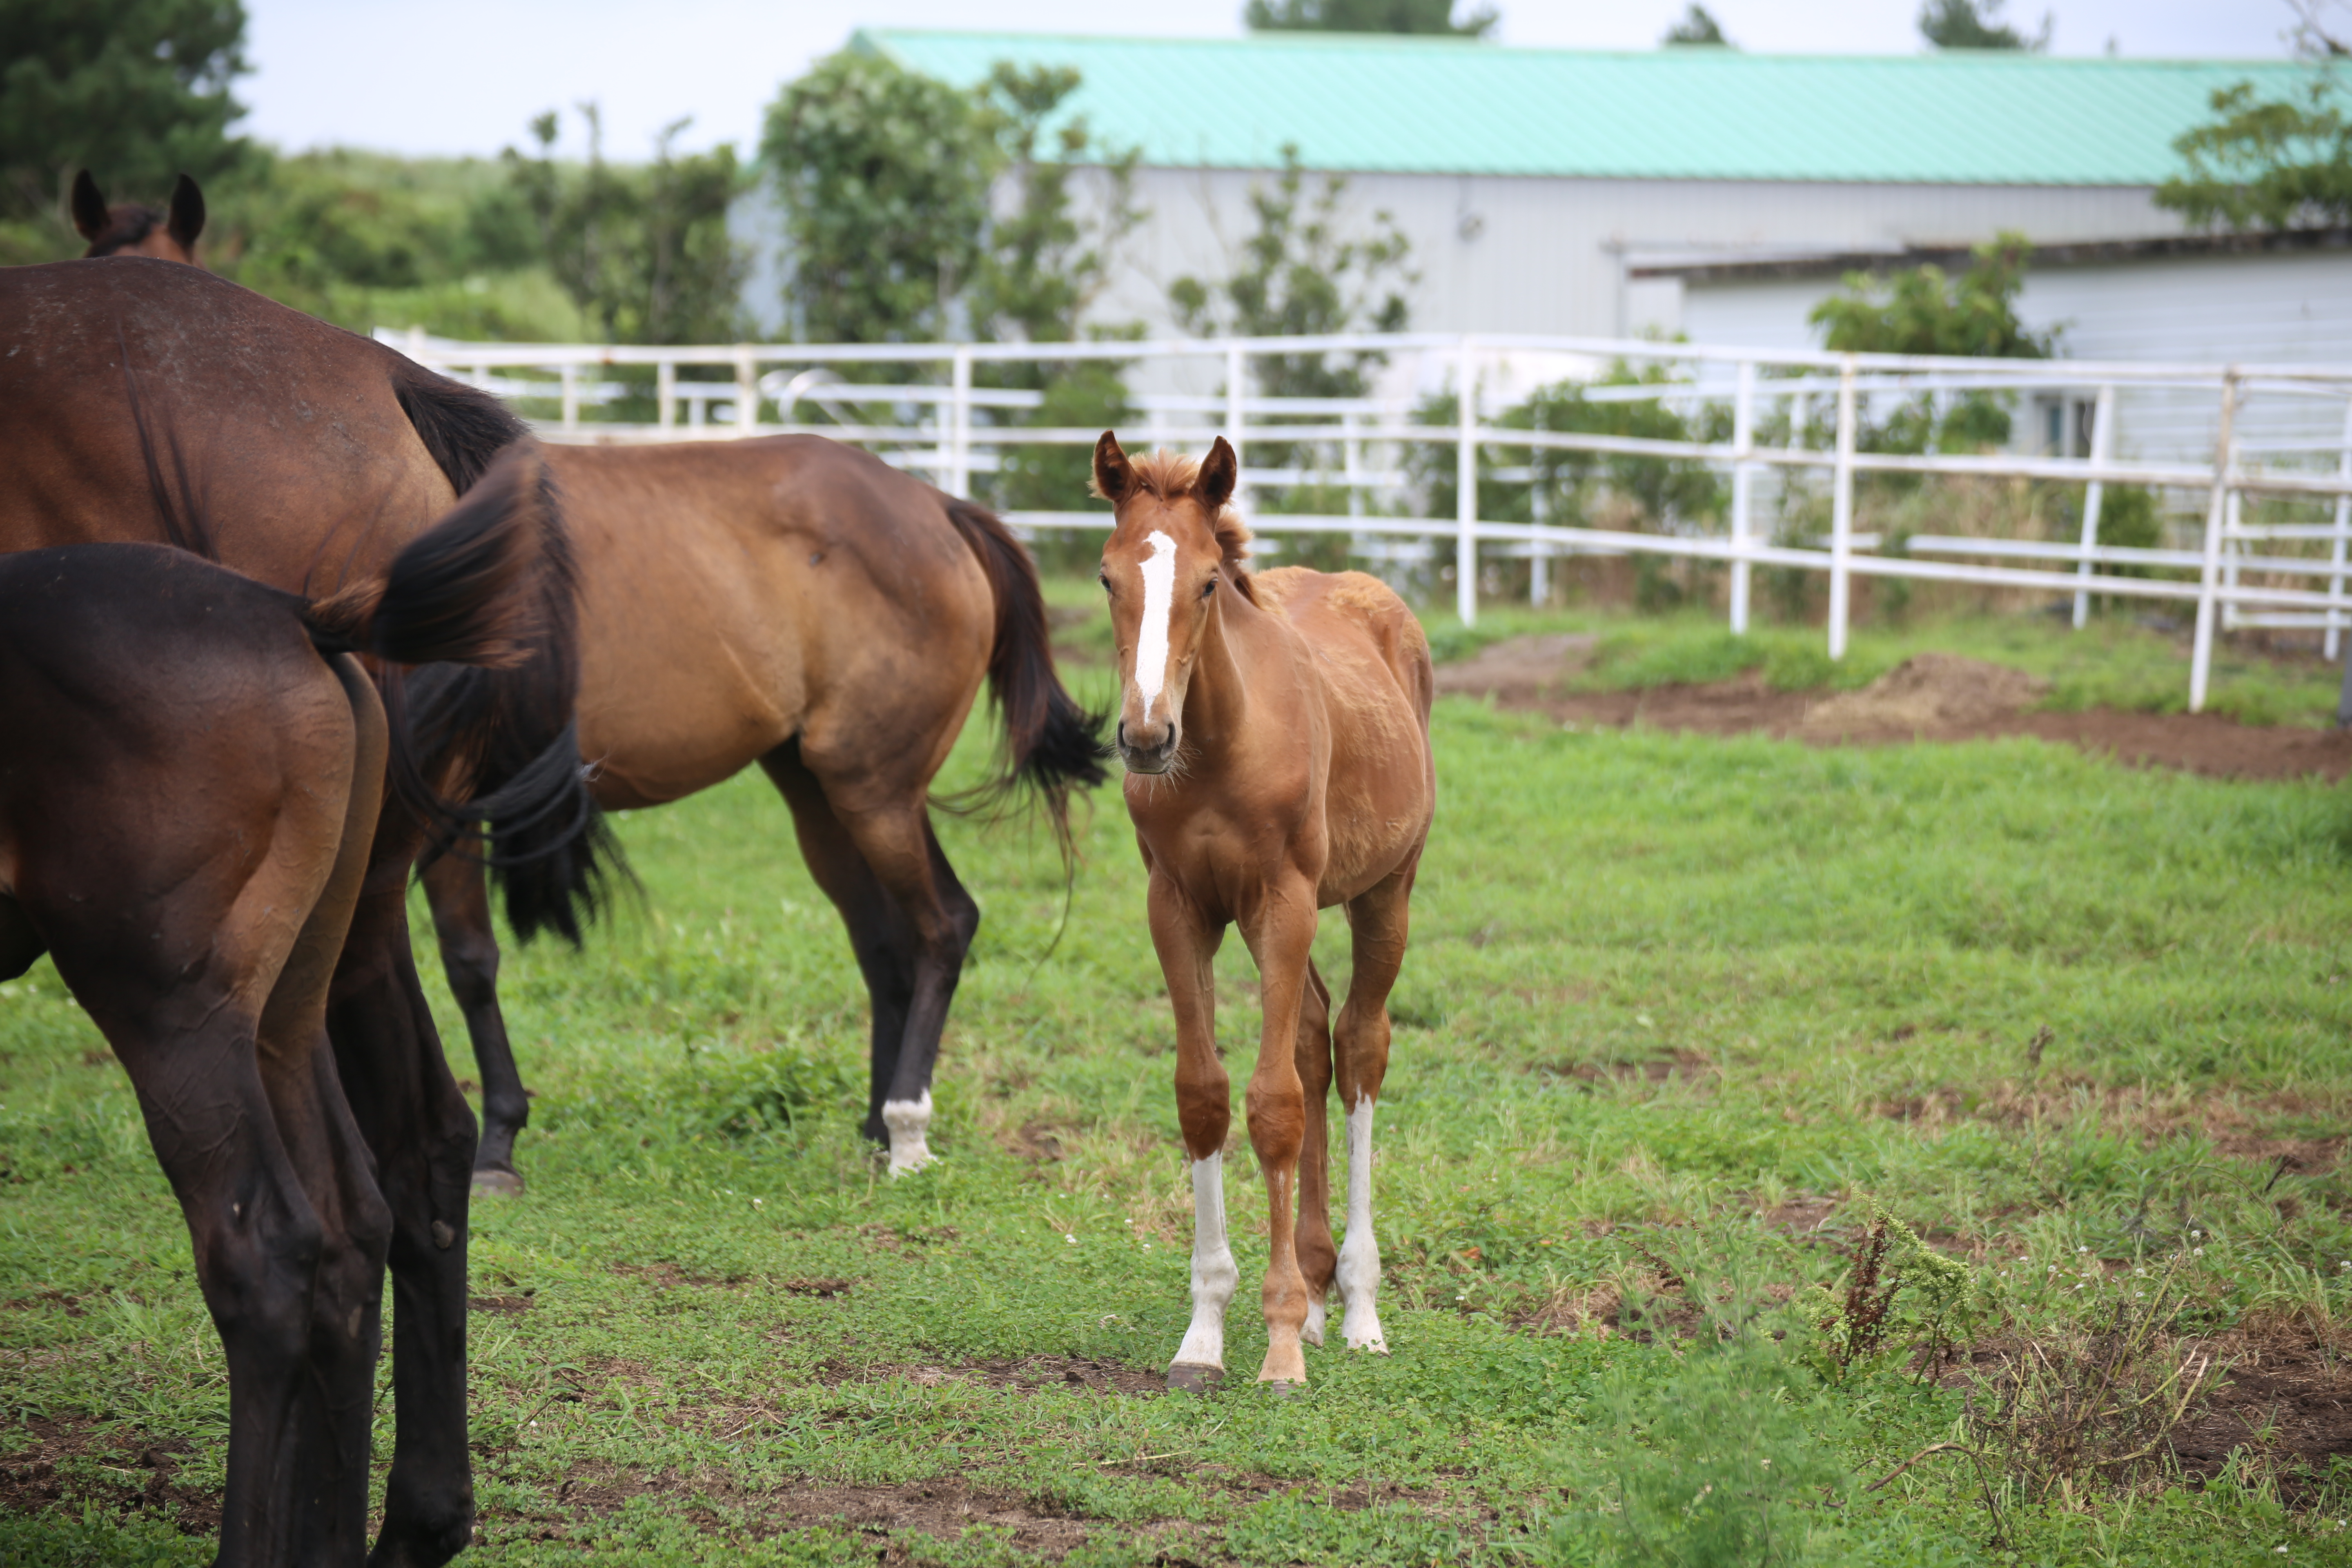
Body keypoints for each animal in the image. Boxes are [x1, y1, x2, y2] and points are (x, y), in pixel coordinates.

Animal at [419, 435, 1105, 1185]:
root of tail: (940, 506)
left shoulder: (444, 793)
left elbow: (468, 963)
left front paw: (495, 1145)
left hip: (873, 792)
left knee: (944, 924)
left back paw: (906, 1130)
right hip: (831, 795)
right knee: (888, 945)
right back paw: (876, 1125)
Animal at [1096, 432, 1439, 1401]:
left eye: (1210, 581)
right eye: (1106, 577)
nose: (1145, 738)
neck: (1219, 747)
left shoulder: (1283, 902)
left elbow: (1275, 1103)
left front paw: (1281, 1345)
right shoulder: (1178, 908)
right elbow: (1206, 1096)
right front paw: (1206, 1334)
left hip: (1381, 892)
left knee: (1358, 1047)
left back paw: (1355, 1309)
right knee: (1316, 1032)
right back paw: (1322, 1296)